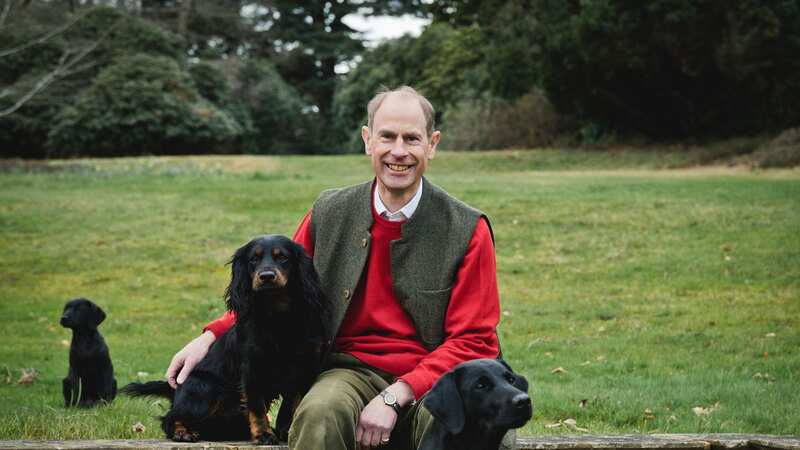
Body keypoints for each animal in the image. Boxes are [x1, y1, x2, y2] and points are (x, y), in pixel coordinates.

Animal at [122, 236, 328, 442]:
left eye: (283, 257)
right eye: (253, 259)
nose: (267, 276)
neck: (277, 315)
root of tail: (175, 389)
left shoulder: (302, 366)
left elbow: (292, 404)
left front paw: (286, 431)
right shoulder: (251, 368)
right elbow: (257, 406)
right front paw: (263, 434)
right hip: (207, 386)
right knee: (169, 419)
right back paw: (183, 432)